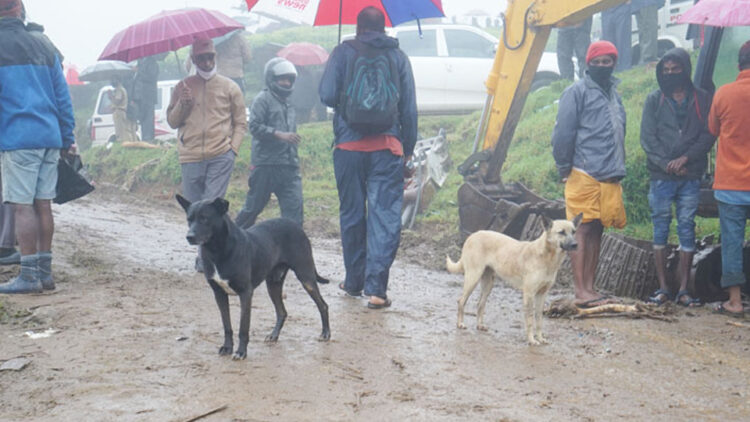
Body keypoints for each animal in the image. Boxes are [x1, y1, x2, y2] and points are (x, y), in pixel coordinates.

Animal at [176, 195, 332, 360]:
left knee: (323, 305)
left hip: (305, 276)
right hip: (273, 284)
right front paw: (227, 347)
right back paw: (274, 335)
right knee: (282, 312)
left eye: (204, 218)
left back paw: (325, 334)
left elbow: (243, 328)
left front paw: (241, 352)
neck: (218, 251)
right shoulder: (219, 294)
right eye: (189, 219)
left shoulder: (245, 293)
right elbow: (227, 326)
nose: (189, 237)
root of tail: (296, 226)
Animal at [446, 213, 580, 344]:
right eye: (561, 232)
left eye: (574, 232)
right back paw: (460, 324)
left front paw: (540, 338)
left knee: (480, 304)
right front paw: (531, 340)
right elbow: (530, 320)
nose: (575, 244)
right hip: (473, 278)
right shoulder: (529, 294)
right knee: (461, 301)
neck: (546, 256)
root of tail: (473, 235)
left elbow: (539, 319)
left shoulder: (542, 294)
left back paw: (480, 325)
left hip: (488, 284)